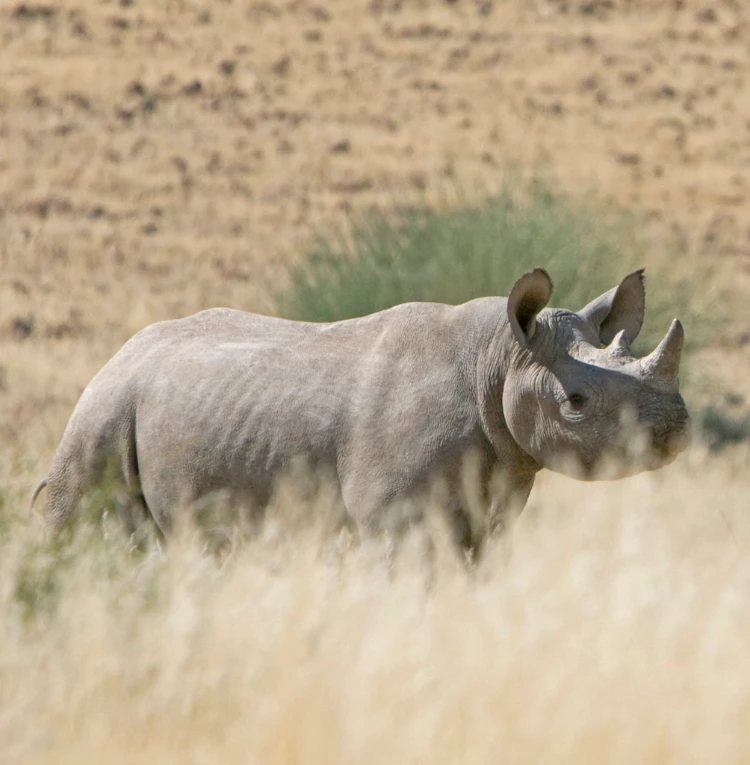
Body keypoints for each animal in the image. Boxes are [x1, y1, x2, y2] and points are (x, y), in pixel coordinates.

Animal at [33, 268, 689, 552]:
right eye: (575, 404)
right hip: (103, 413)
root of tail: (117, 357)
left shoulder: (491, 509)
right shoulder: (396, 521)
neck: (500, 357)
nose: (675, 429)